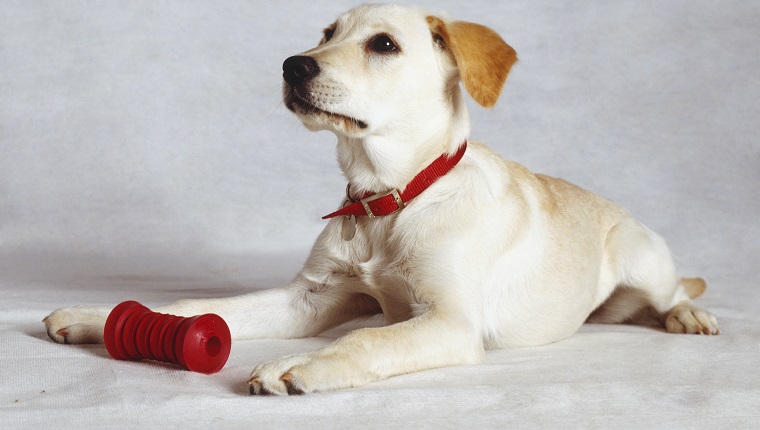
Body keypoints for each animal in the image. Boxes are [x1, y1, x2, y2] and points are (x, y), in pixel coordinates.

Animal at [43, 4, 720, 396]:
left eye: (384, 45)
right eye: (326, 33)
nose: (293, 65)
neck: (387, 199)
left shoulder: (450, 322)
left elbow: (367, 341)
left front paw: (298, 366)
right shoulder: (311, 298)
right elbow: (195, 306)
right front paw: (96, 316)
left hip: (638, 252)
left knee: (670, 294)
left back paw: (689, 316)